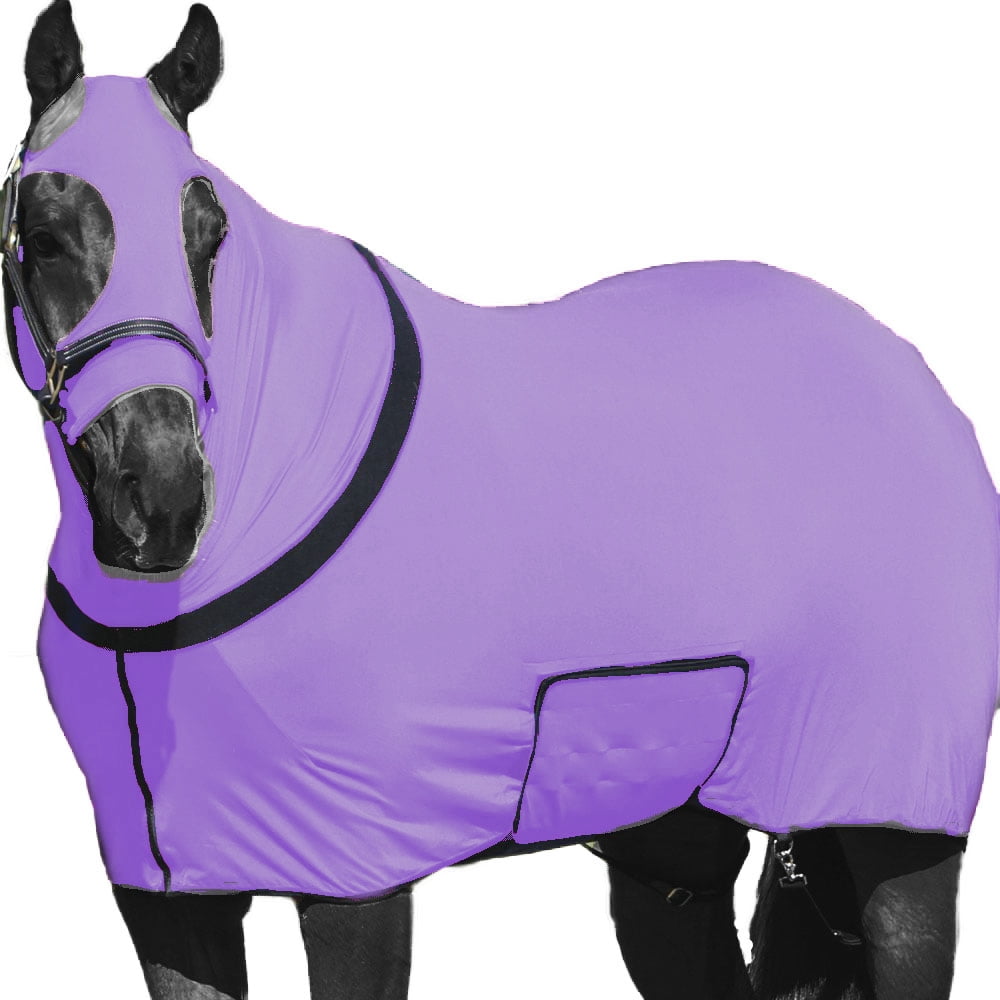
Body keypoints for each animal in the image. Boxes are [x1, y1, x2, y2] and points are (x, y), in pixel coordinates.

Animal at [4, 3, 997, 999]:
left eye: (208, 237)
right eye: (43, 237)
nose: (162, 503)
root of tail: (915, 379)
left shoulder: (354, 876)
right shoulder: (170, 895)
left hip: (889, 826)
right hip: (672, 845)